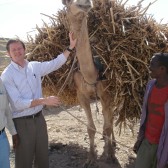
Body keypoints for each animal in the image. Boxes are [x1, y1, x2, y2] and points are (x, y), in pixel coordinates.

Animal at [61, 0, 115, 165]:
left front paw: (110, 154)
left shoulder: (106, 94)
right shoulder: (82, 95)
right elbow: (91, 128)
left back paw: (112, 142)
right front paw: (90, 158)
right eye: (67, 2)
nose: (85, 3)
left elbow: (108, 125)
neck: (91, 74)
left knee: (111, 117)